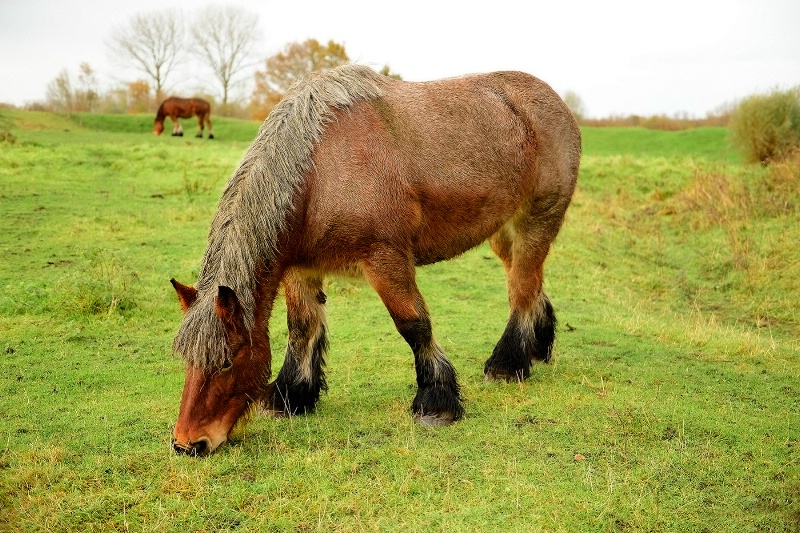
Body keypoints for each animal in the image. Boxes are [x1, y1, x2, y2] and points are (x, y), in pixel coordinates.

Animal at [169, 62, 580, 454]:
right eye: (185, 358)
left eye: (226, 361)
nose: (188, 443)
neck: (319, 175)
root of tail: (555, 103)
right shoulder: (301, 269)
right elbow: (302, 328)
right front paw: (291, 396)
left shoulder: (386, 260)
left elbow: (413, 325)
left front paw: (436, 401)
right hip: (503, 233)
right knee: (528, 281)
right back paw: (537, 346)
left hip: (536, 222)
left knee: (522, 288)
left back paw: (508, 364)